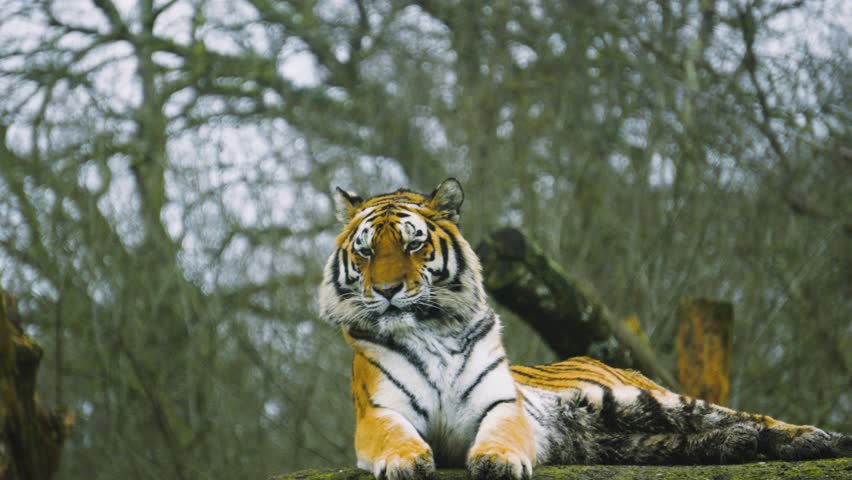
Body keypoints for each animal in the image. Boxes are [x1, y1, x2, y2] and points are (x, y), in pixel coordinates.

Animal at [318, 178, 851, 480]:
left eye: (413, 244)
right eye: (366, 251)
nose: (387, 290)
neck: (432, 330)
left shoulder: (500, 403)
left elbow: (500, 432)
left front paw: (498, 460)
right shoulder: (381, 411)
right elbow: (396, 437)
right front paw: (406, 460)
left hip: (646, 399)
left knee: (748, 417)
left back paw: (815, 439)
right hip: (617, 431)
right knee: (705, 435)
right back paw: (743, 445)